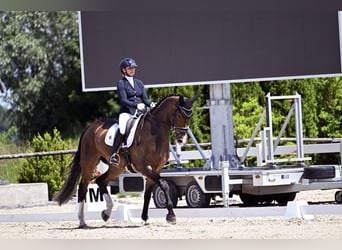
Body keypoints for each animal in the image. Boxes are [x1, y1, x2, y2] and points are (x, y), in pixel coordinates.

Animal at [53, 93, 198, 228]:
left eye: (190, 116)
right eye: (179, 114)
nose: (181, 139)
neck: (154, 134)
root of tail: (91, 126)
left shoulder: (155, 169)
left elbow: (147, 194)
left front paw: (145, 218)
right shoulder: (145, 168)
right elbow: (164, 185)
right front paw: (171, 216)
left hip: (116, 167)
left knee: (101, 181)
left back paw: (106, 213)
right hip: (89, 163)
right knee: (83, 188)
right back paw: (82, 221)